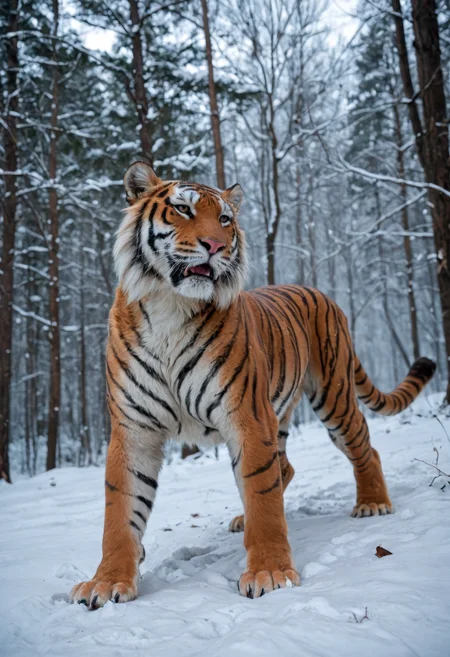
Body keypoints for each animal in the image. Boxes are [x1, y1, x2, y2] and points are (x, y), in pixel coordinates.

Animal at [69, 161, 436, 609]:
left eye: (226, 219)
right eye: (183, 209)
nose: (215, 245)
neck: (170, 304)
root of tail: (318, 291)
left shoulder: (247, 416)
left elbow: (264, 498)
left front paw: (270, 573)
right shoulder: (133, 429)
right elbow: (120, 512)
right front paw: (106, 583)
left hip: (333, 396)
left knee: (363, 448)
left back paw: (373, 503)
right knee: (285, 466)